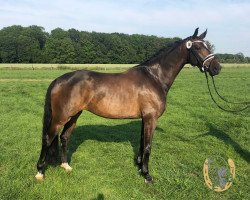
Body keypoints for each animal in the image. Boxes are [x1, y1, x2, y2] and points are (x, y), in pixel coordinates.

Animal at [35, 28, 221, 183]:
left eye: (207, 45)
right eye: (198, 47)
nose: (217, 68)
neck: (154, 77)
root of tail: (58, 80)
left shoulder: (144, 118)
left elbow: (142, 143)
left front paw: (139, 167)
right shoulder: (151, 118)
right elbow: (148, 146)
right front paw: (147, 175)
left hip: (74, 115)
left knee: (64, 137)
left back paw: (65, 165)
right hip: (60, 117)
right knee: (47, 138)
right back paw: (40, 172)